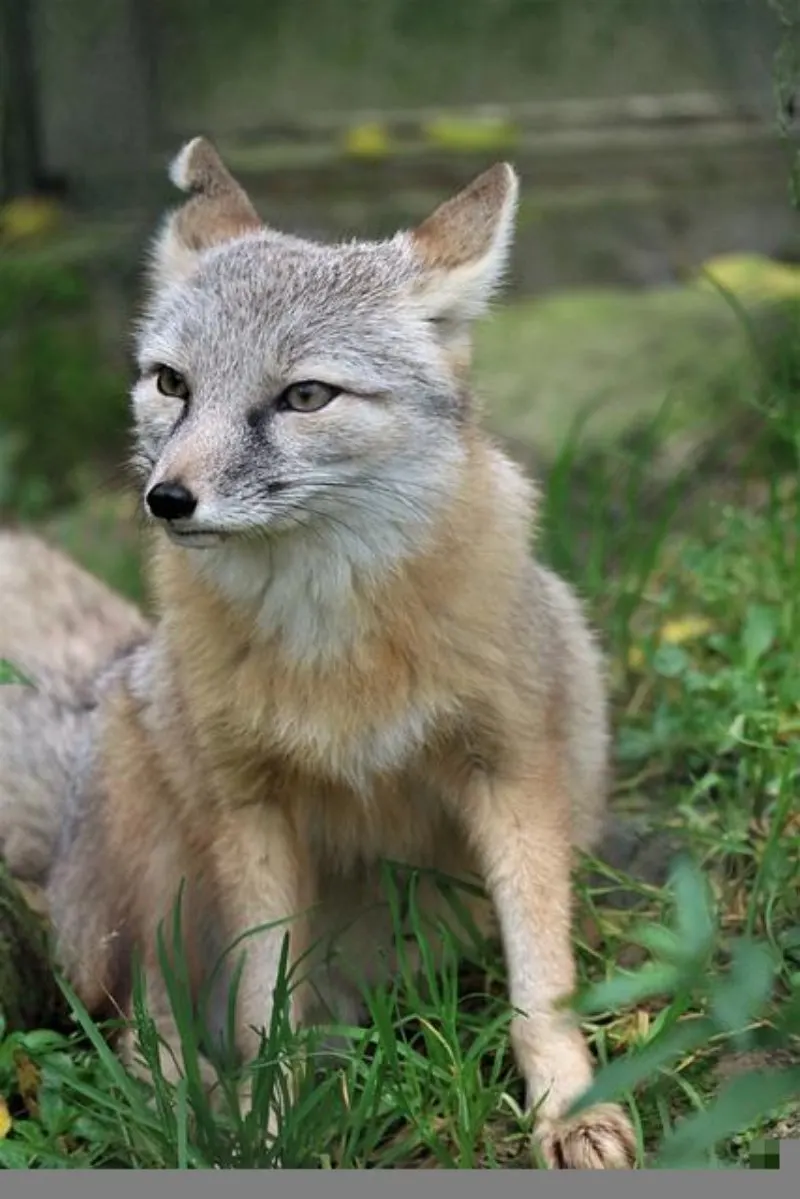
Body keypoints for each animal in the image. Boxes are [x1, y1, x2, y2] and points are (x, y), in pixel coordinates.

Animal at [0, 136, 638, 1165]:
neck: (336, 648)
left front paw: (573, 1109)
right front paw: (271, 1127)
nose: (167, 499)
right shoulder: (251, 808)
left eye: (304, 395)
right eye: (172, 383)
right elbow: (266, 1010)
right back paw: (203, 1112)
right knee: (141, 1024)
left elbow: (543, 980)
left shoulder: (512, 770)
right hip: (154, 855)